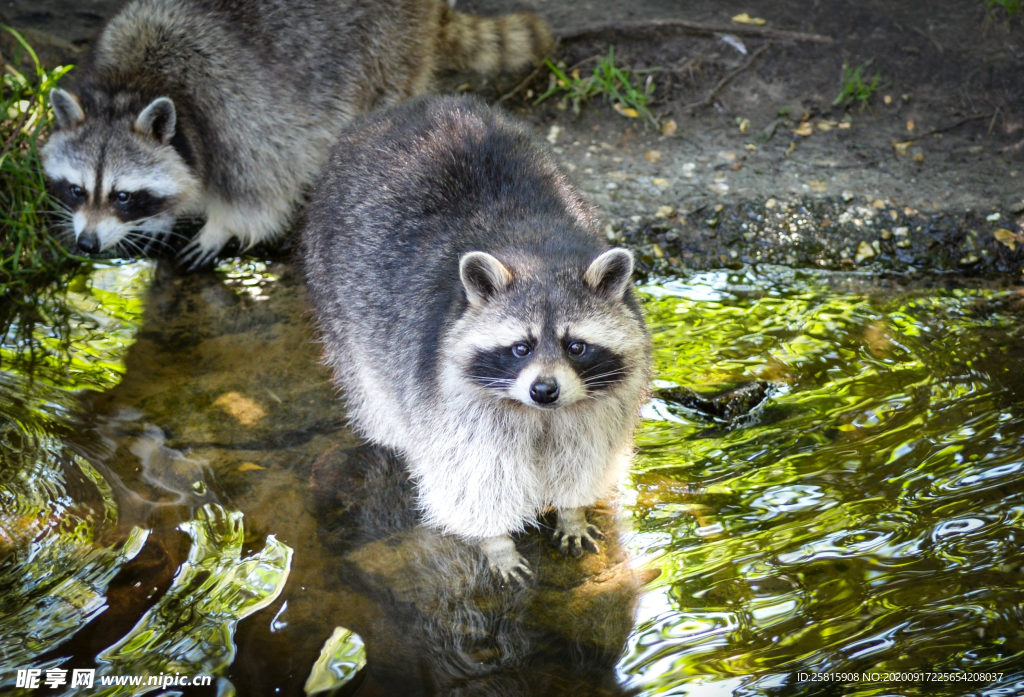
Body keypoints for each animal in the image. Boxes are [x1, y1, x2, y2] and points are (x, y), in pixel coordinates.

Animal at [41, 0, 552, 266]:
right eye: (76, 189)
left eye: (123, 195)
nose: (86, 244)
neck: (134, 84)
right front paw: (166, 216)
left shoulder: (233, 113)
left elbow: (259, 194)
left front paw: (217, 227)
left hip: (388, 47)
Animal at [299, 95, 651, 577]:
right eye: (520, 347)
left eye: (575, 346)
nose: (544, 391)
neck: (538, 254)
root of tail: (407, 107)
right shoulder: (448, 396)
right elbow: (472, 477)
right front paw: (496, 541)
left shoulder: (604, 405)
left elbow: (586, 455)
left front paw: (572, 510)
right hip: (335, 292)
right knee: (376, 398)